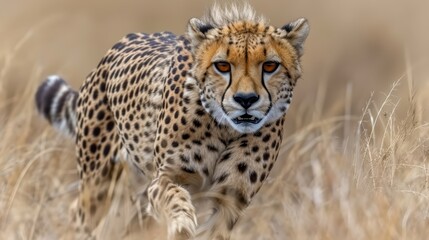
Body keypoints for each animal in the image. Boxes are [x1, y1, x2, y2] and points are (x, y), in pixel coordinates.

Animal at [34, 3, 308, 240]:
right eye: (222, 66)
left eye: (270, 66)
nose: (246, 99)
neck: (225, 128)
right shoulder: (165, 177)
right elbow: (175, 197)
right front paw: (181, 223)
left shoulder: (230, 199)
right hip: (99, 181)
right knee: (80, 213)